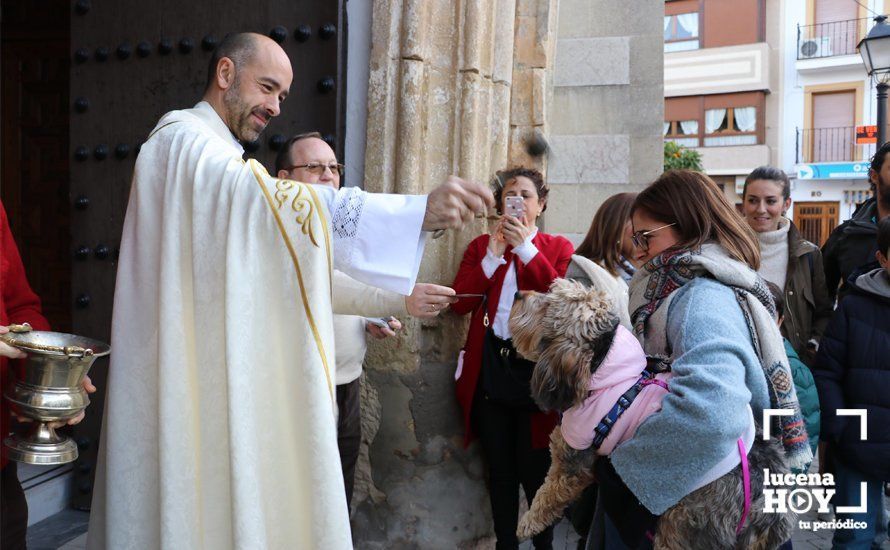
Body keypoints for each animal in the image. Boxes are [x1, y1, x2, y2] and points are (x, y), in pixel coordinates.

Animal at [510, 282, 796, 548]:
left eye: (547, 305)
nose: (517, 293)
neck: (605, 372)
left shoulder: (571, 461)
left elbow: (548, 494)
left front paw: (526, 524)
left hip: (683, 523)